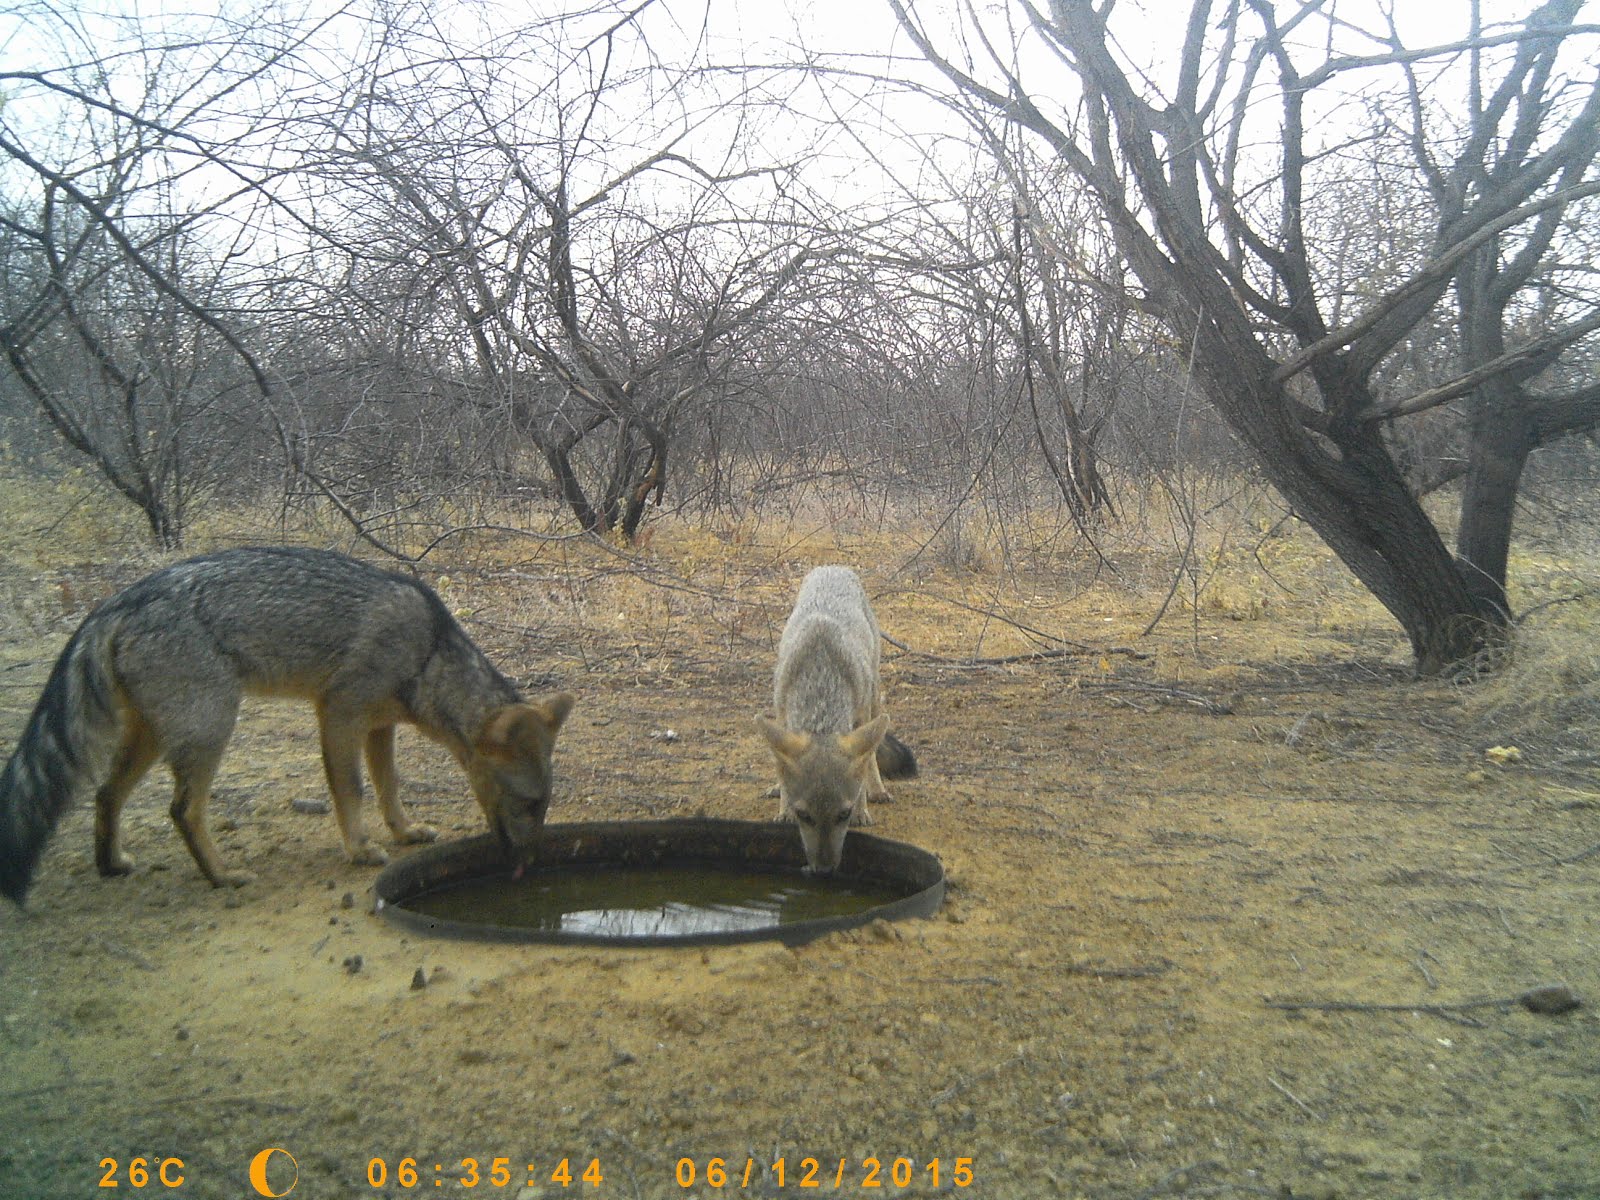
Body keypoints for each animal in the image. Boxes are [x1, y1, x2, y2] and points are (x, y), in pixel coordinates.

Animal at [0, 544, 576, 902]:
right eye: (529, 803)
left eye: (545, 804)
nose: (530, 862)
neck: (427, 653)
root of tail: (118, 600)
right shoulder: (340, 714)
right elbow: (353, 790)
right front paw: (360, 849)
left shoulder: (380, 726)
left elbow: (390, 787)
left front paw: (405, 831)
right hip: (212, 728)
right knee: (183, 809)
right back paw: (221, 876)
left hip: (154, 738)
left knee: (105, 794)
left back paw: (112, 864)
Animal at [758, 563, 921, 876]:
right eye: (804, 815)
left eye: (842, 815)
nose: (823, 870)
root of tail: (833, 567)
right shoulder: (783, 717)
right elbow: (782, 769)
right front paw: (783, 809)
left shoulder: (858, 722)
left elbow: (862, 770)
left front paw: (862, 810)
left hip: (873, 701)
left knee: (871, 756)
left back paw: (877, 791)